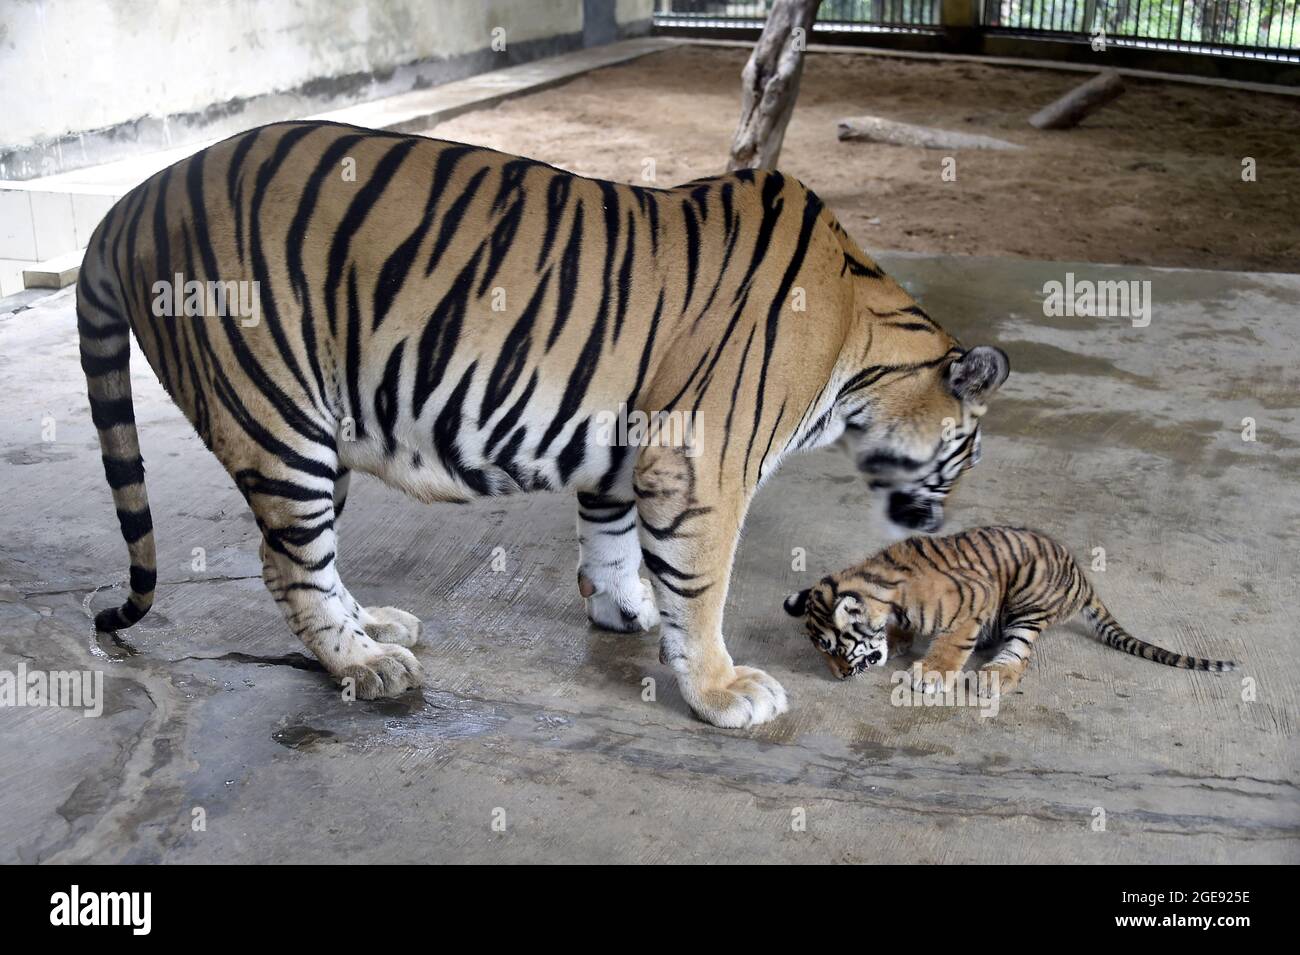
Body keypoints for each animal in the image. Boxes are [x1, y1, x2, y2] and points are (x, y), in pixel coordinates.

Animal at [81, 123, 1008, 727]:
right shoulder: (703, 457)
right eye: (965, 449)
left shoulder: (629, 446)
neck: (862, 341)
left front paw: (627, 609)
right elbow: (704, 581)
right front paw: (719, 687)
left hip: (318, 430)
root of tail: (128, 200)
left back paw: (374, 626)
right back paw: (365, 663)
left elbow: (614, 537)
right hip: (275, 418)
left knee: (302, 559)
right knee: (288, 565)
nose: (944, 516)